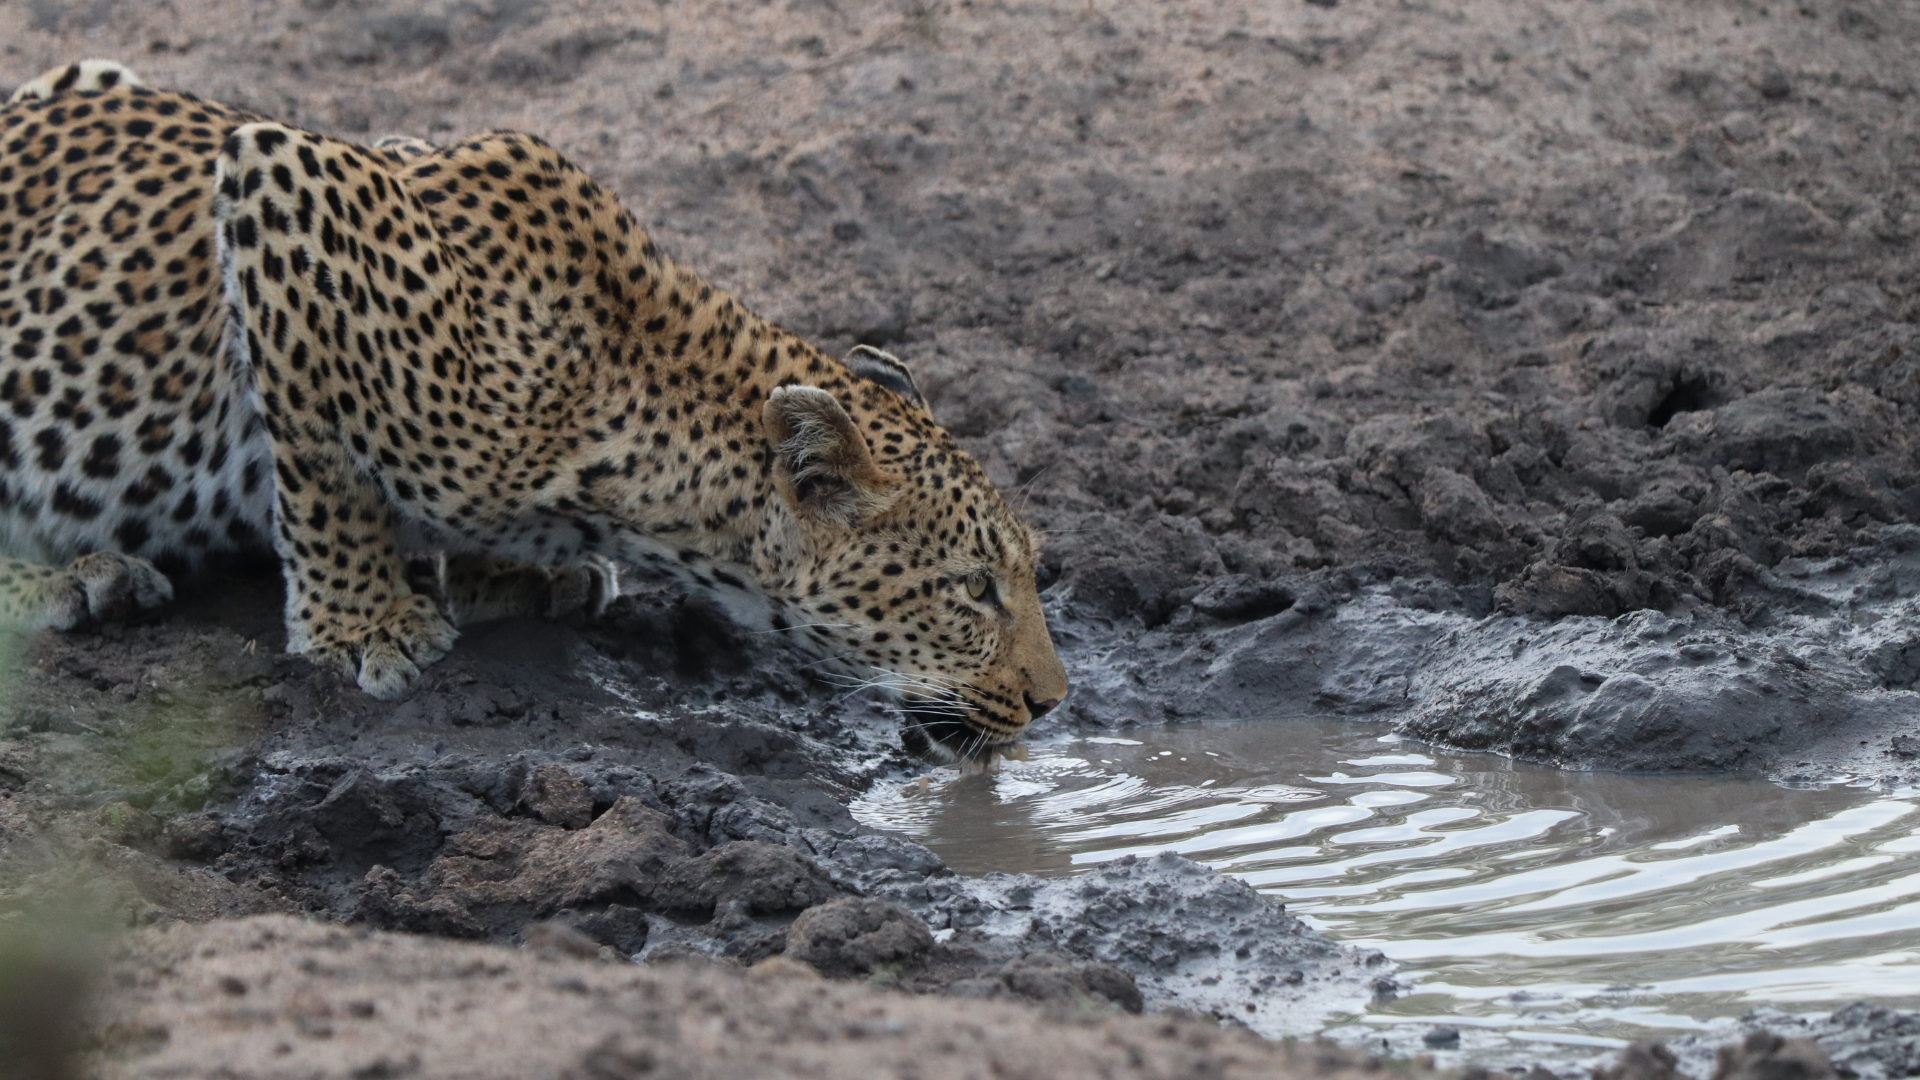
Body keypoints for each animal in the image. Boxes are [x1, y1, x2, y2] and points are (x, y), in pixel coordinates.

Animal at [0, 61, 1068, 761]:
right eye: (975, 588)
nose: (1054, 703)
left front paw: (499, 577)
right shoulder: (285, 176)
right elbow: (324, 464)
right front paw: (363, 624)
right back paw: (74, 578)